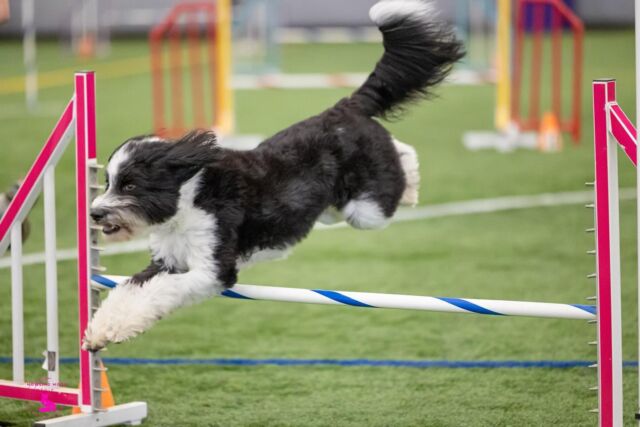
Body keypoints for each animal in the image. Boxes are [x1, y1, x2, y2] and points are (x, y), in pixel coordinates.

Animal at [84, 0, 464, 352]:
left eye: (131, 184)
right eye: (108, 182)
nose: (95, 213)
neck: (187, 202)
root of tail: (344, 109)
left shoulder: (212, 268)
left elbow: (162, 290)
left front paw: (113, 330)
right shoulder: (167, 261)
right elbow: (129, 289)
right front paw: (98, 332)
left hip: (366, 210)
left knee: (399, 165)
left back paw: (411, 187)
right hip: (334, 210)